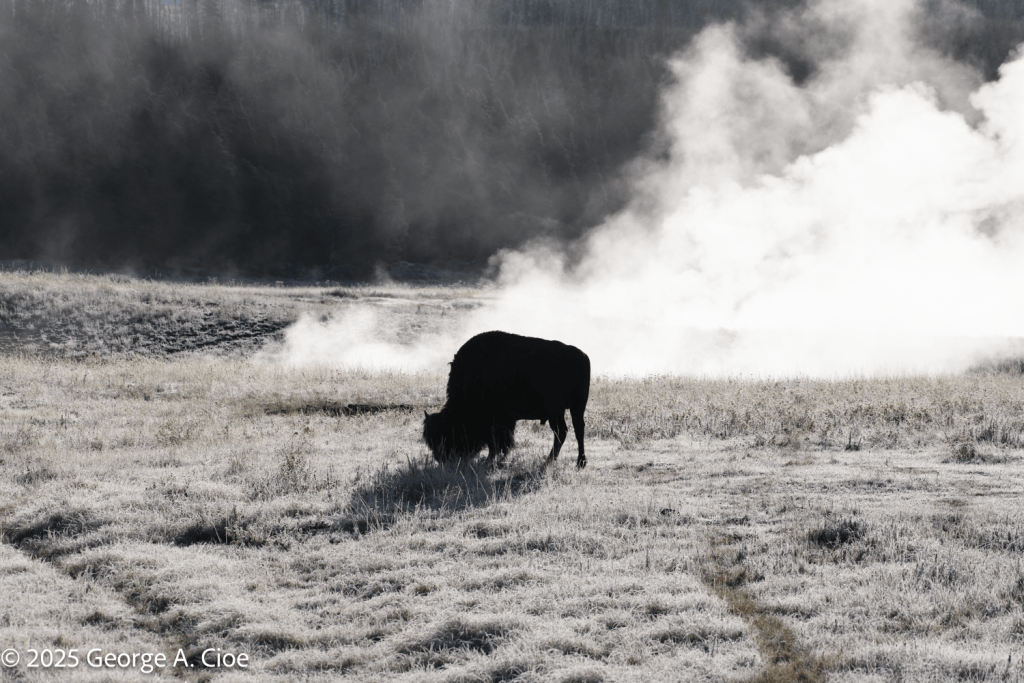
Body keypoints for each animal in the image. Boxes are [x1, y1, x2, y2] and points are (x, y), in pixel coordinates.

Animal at [423, 331, 591, 468]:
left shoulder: (494, 421)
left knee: (562, 432)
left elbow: (496, 442)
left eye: (445, 434)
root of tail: (582, 356)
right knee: (576, 430)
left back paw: (551, 461)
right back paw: (578, 462)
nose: (443, 459)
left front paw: (490, 461)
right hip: (573, 408)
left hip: (557, 411)